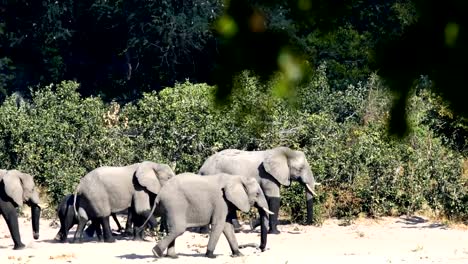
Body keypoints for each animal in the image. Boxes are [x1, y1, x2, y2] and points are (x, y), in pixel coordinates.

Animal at [144, 172, 272, 258]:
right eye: (257, 194)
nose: (260, 249)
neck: (236, 178)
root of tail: (160, 194)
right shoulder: (220, 201)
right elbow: (219, 225)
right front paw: (211, 256)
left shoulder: (227, 203)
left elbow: (227, 227)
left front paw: (239, 254)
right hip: (175, 204)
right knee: (178, 229)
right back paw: (156, 253)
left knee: (172, 229)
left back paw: (173, 257)